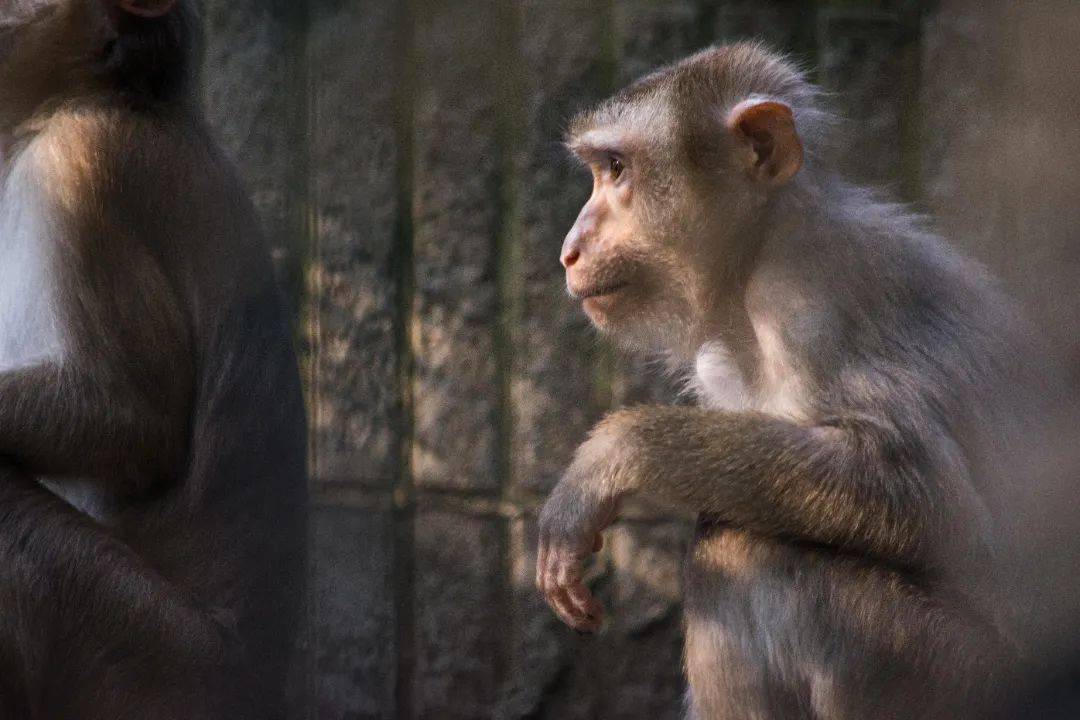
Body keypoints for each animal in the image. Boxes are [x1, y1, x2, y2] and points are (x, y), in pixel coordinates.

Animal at [535, 40, 1058, 720]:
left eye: (618, 168)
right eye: (600, 169)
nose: (570, 248)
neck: (759, 250)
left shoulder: (814, 301)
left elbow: (921, 490)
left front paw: (613, 456)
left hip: (956, 676)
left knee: (747, 550)